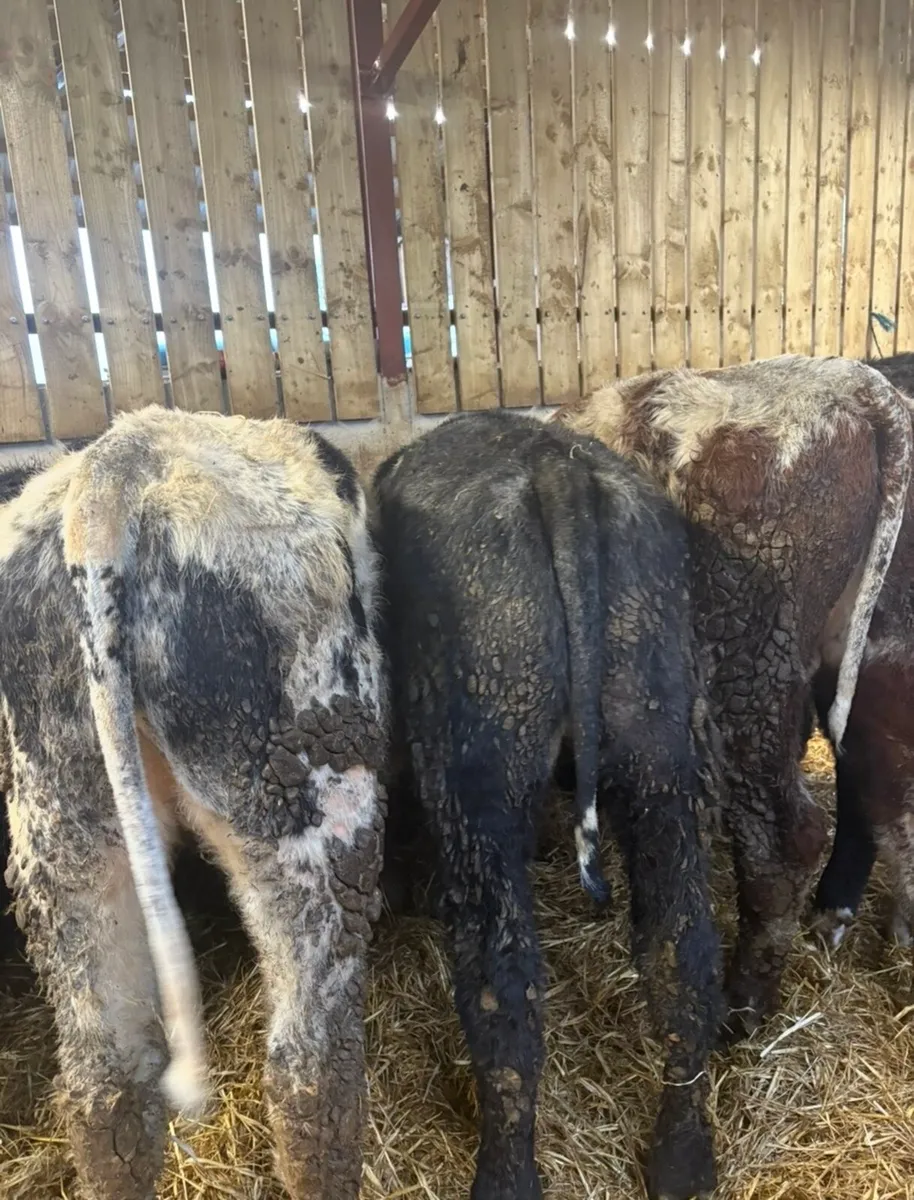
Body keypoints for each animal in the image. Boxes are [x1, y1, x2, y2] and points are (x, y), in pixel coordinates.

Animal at [374, 409, 724, 1200]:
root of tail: (554, 467)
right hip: (656, 743)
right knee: (681, 943)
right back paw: (682, 1158)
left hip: (481, 771)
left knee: (501, 985)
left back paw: (505, 1178)